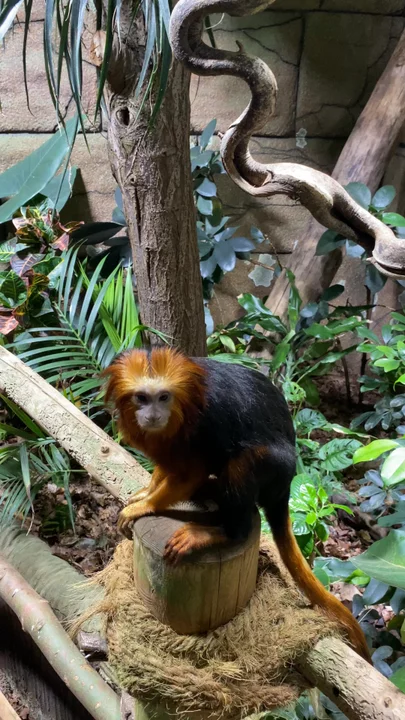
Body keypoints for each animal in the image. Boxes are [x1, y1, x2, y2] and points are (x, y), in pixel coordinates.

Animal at [104, 346, 371, 662]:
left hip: (275, 471)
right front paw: (148, 490)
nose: (153, 415)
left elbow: (192, 471)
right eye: (142, 398)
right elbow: (169, 466)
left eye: (164, 397)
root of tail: (286, 486)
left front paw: (146, 506)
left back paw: (222, 532)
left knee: (243, 462)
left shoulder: (204, 422)